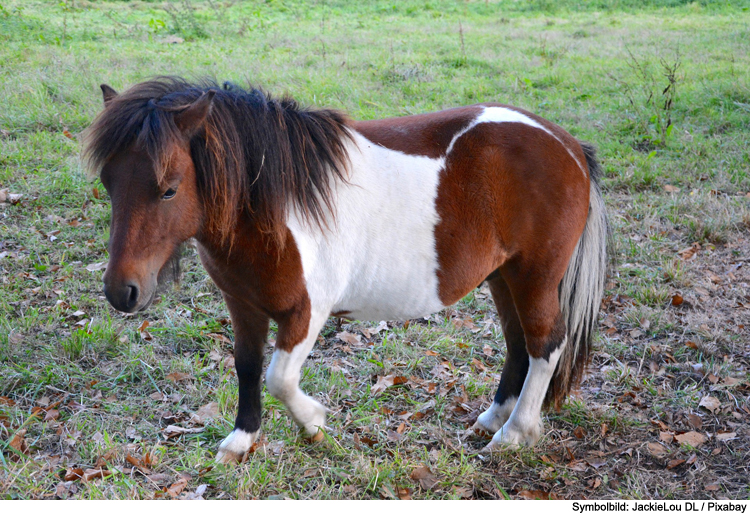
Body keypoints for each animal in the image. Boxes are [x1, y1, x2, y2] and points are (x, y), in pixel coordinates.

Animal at [83, 77, 612, 462]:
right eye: (108, 182)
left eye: (169, 188)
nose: (121, 291)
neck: (272, 208)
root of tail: (568, 146)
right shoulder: (243, 304)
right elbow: (248, 367)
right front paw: (242, 440)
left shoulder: (306, 313)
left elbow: (279, 378)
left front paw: (314, 423)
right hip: (504, 276)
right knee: (519, 343)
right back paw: (492, 419)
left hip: (534, 276)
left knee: (545, 344)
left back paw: (516, 432)